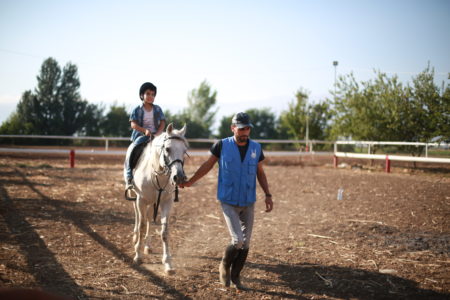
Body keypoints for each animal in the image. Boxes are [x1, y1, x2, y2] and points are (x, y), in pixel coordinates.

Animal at [127, 123, 187, 274]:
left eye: (184, 151)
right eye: (167, 148)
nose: (179, 177)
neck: (156, 174)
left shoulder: (166, 202)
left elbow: (164, 232)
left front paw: (168, 263)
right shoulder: (141, 200)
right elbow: (142, 226)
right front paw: (138, 255)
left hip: (152, 202)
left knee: (148, 218)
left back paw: (147, 246)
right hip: (135, 197)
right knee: (138, 217)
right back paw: (135, 238)